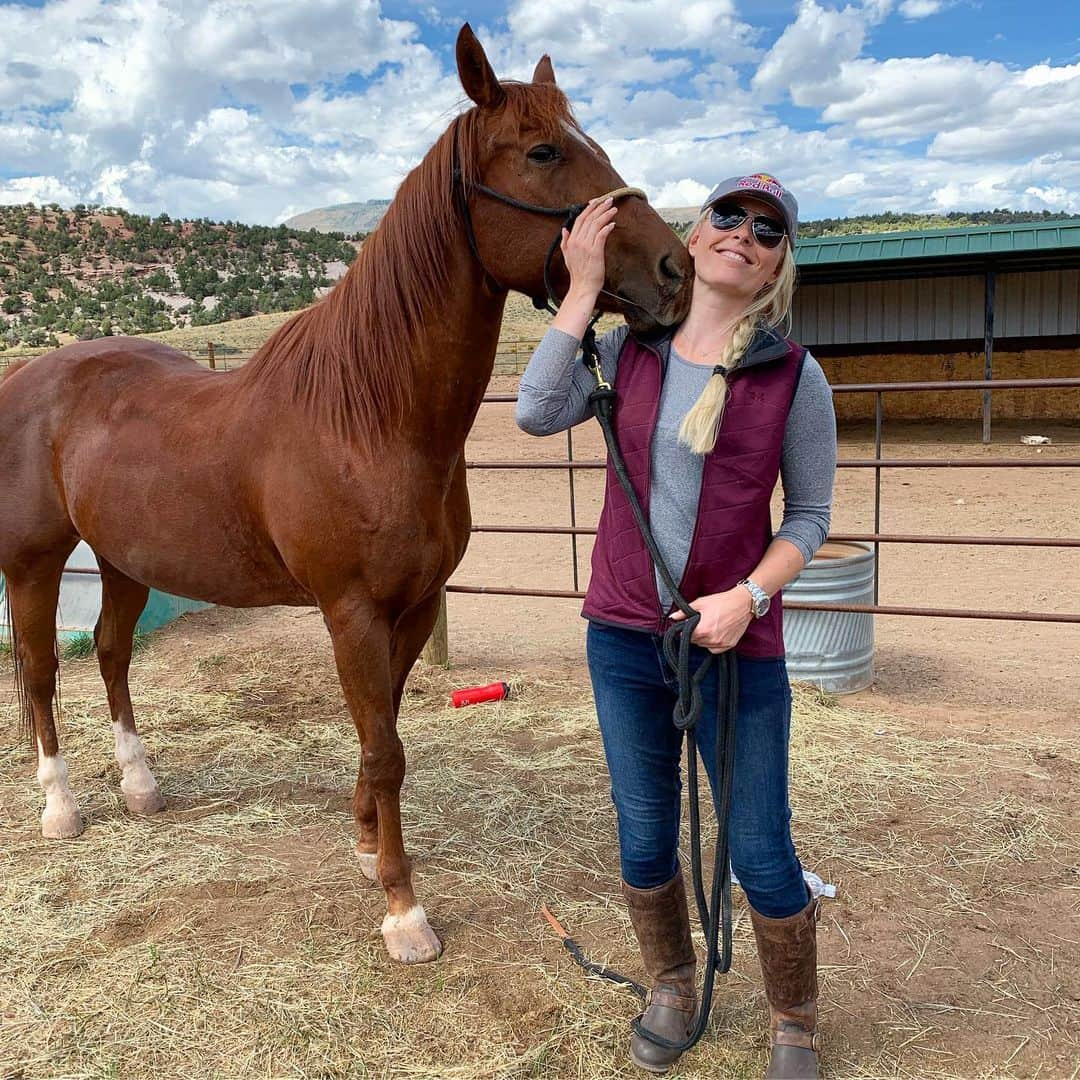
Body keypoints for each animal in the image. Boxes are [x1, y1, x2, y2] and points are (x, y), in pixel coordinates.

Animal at [0, 27, 691, 963]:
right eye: (544, 152)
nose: (676, 268)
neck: (371, 417)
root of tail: (32, 376)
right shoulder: (352, 612)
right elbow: (386, 747)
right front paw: (404, 910)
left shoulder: (411, 607)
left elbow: (381, 733)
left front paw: (367, 847)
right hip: (35, 562)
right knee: (41, 672)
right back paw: (61, 805)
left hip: (123, 559)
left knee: (110, 654)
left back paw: (140, 785)